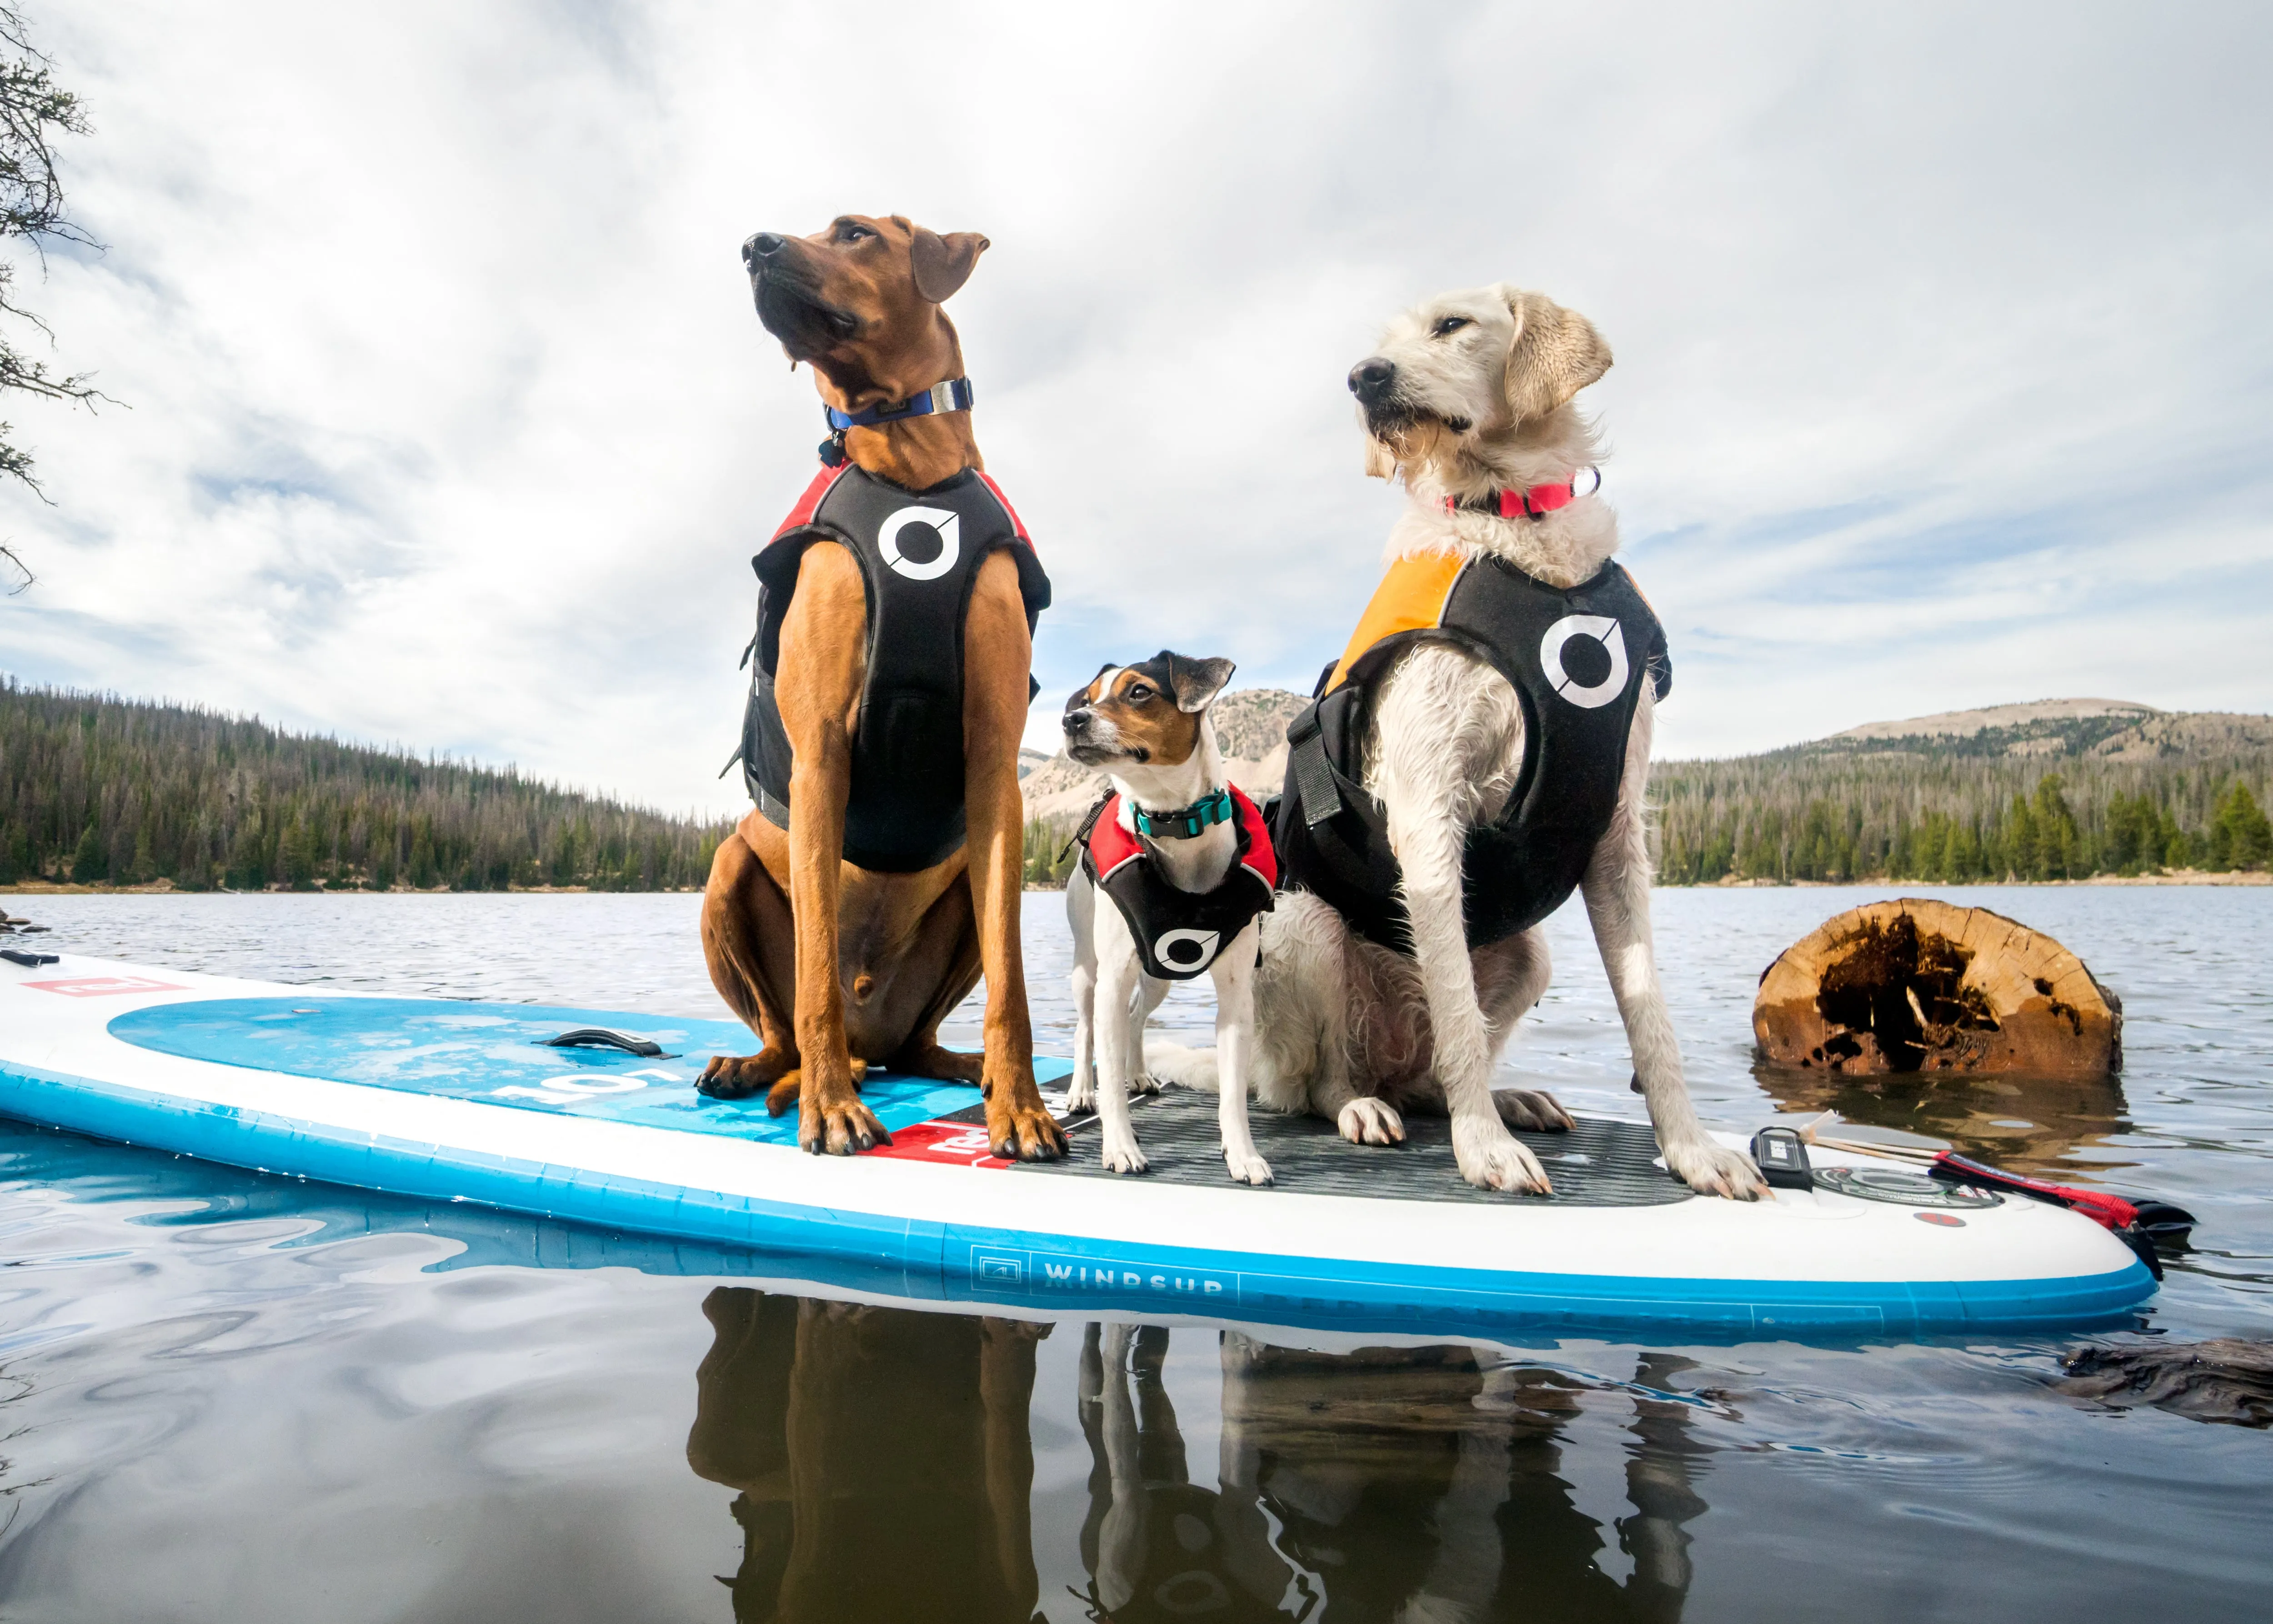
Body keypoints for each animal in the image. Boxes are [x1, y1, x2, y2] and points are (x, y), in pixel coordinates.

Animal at [700, 211, 1064, 1151]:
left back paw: (965, 1068)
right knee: (785, 1021)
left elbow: (1014, 981)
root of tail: (878, 1036)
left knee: (921, 1042)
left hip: (961, 889)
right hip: (727, 868)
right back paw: (765, 1068)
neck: (912, 465)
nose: (752, 246)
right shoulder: (822, 755)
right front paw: (829, 1105)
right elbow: (816, 972)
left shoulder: (996, 769)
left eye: (854, 233)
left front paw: (1021, 1107)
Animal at [1146, 284, 1764, 1192]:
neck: (1516, 530)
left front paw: (1691, 1151)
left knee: (1429, 1074)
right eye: (1381, 343)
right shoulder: (1428, 809)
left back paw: (1507, 1098)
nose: (1363, 378)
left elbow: (1650, 1017)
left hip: (1530, 957)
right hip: (1304, 931)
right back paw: (1369, 1108)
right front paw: (1485, 1150)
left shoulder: (1619, 836)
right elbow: (1456, 1008)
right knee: (1327, 1083)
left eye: (1452, 325)